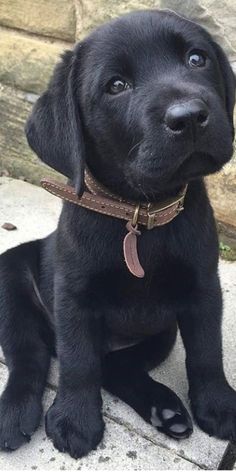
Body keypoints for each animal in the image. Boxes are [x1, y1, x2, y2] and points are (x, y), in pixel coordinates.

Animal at [0, 6, 236, 458]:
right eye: (116, 86)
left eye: (197, 59)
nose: (189, 116)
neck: (140, 214)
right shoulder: (73, 296)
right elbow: (77, 361)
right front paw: (74, 419)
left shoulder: (202, 287)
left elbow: (206, 351)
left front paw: (219, 404)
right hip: (12, 286)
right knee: (31, 356)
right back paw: (15, 413)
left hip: (159, 331)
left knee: (115, 364)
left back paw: (165, 409)